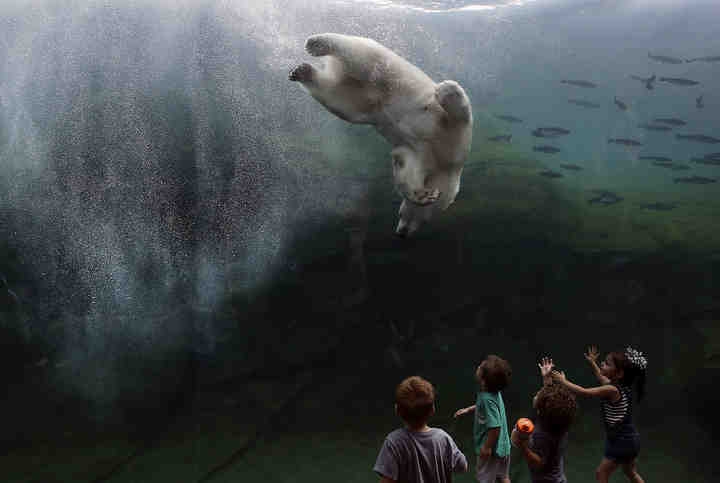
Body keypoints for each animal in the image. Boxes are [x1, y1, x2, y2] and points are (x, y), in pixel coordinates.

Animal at [286, 32, 472, 238]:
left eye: (401, 214)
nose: (402, 232)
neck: (442, 166)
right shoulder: (453, 143)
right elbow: (460, 116)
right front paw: (447, 89)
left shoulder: (421, 152)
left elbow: (405, 165)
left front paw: (421, 194)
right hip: (388, 69)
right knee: (360, 54)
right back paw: (316, 43)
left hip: (362, 98)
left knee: (337, 97)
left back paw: (302, 71)